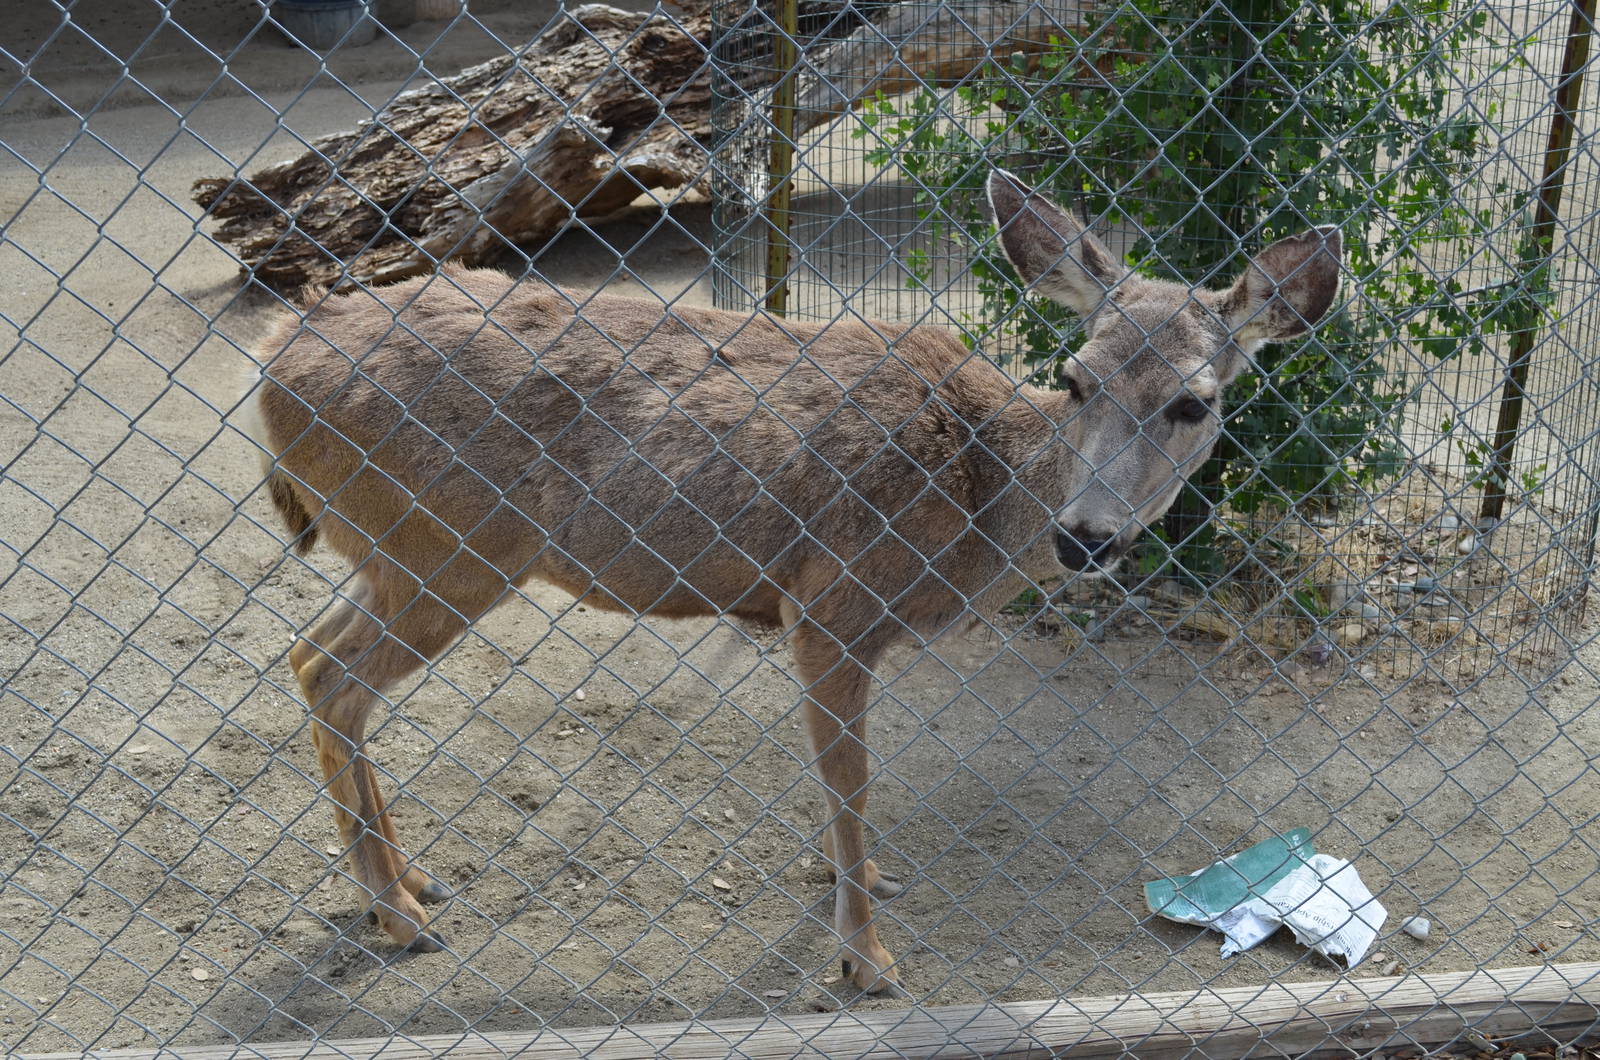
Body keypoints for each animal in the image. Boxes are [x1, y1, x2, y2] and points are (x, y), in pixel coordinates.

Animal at [240, 169, 1340, 996]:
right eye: (1076, 377)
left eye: (1195, 401)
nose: (1084, 538)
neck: (973, 496)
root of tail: (271, 361)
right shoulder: (828, 603)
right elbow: (848, 780)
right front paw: (867, 961)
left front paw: (867, 890)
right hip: (449, 550)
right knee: (332, 676)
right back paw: (398, 914)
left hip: (402, 555)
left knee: (307, 657)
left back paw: (412, 881)